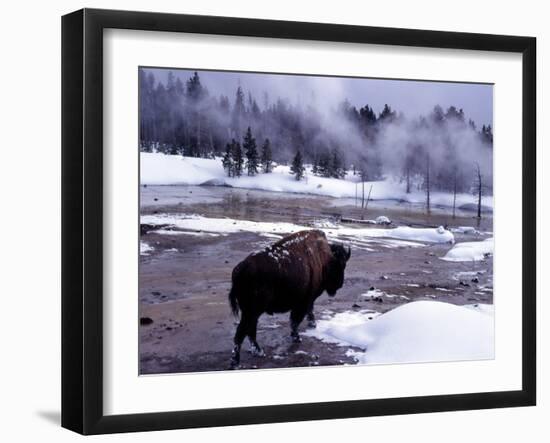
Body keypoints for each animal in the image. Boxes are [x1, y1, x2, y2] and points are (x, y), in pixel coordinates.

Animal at [230, 231, 354, 370]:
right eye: (340, 266)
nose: (339, 285)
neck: (325, 259)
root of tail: (240, 270)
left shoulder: (306, 301)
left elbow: (305, 314)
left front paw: (310, 326)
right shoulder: (304, 302)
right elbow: (296, 320)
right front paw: (297, 338)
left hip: (251, 312)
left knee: (250, 330)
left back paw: (258, 351)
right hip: (252, 311)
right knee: (241, 333)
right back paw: (236, 362)